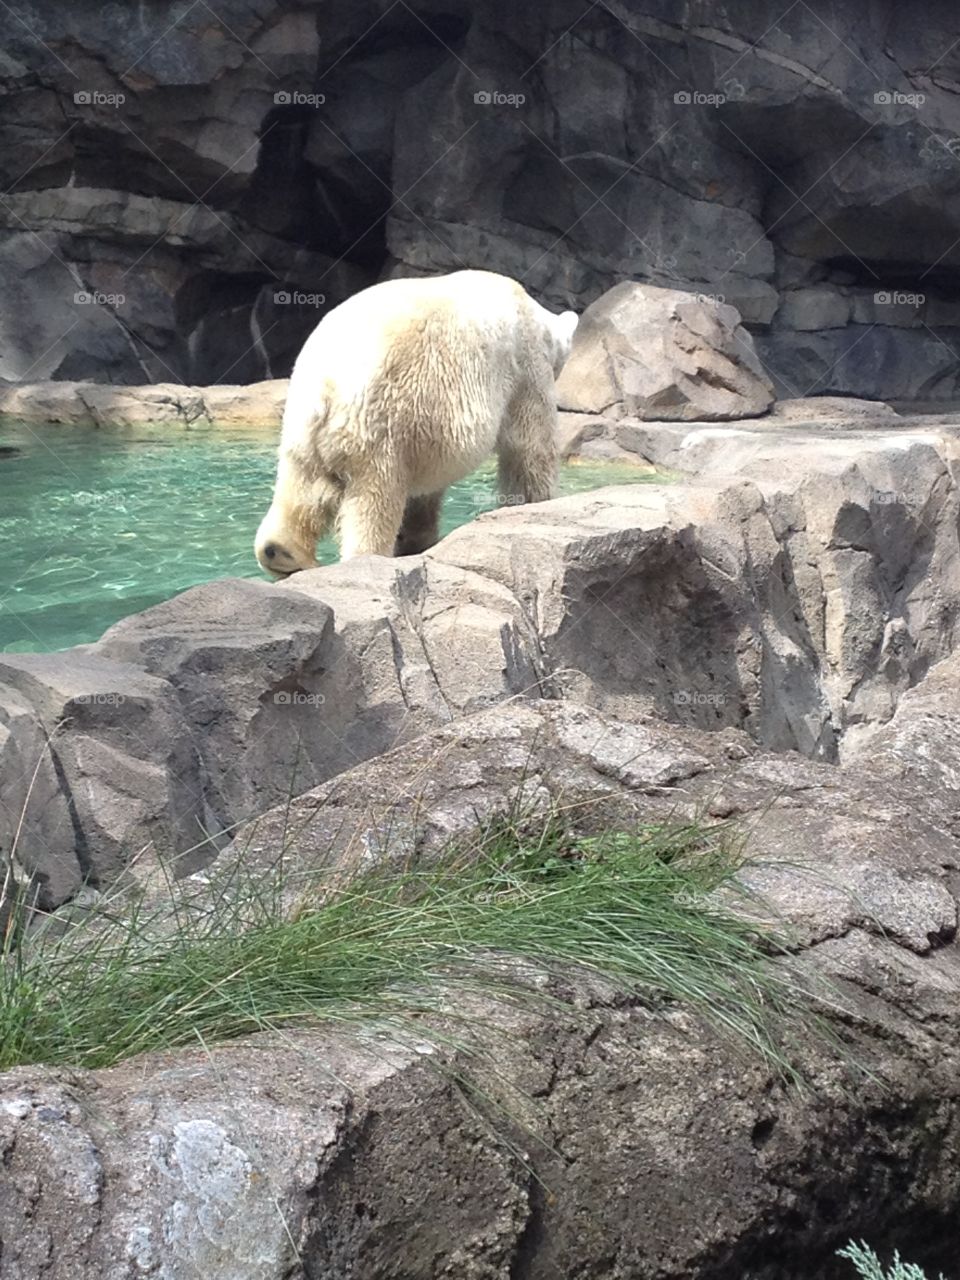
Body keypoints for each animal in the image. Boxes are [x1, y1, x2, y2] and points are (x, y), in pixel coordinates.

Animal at [254, 269, 578, 574]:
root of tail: (324, 389)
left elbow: (424, 492)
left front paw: (416, 540)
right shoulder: (526, 366)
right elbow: (529, 448)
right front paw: (538, 503)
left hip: (301, 433)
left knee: (301, 488)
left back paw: (281, 552)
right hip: (377, 426)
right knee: (374, 501)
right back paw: (366, 557)